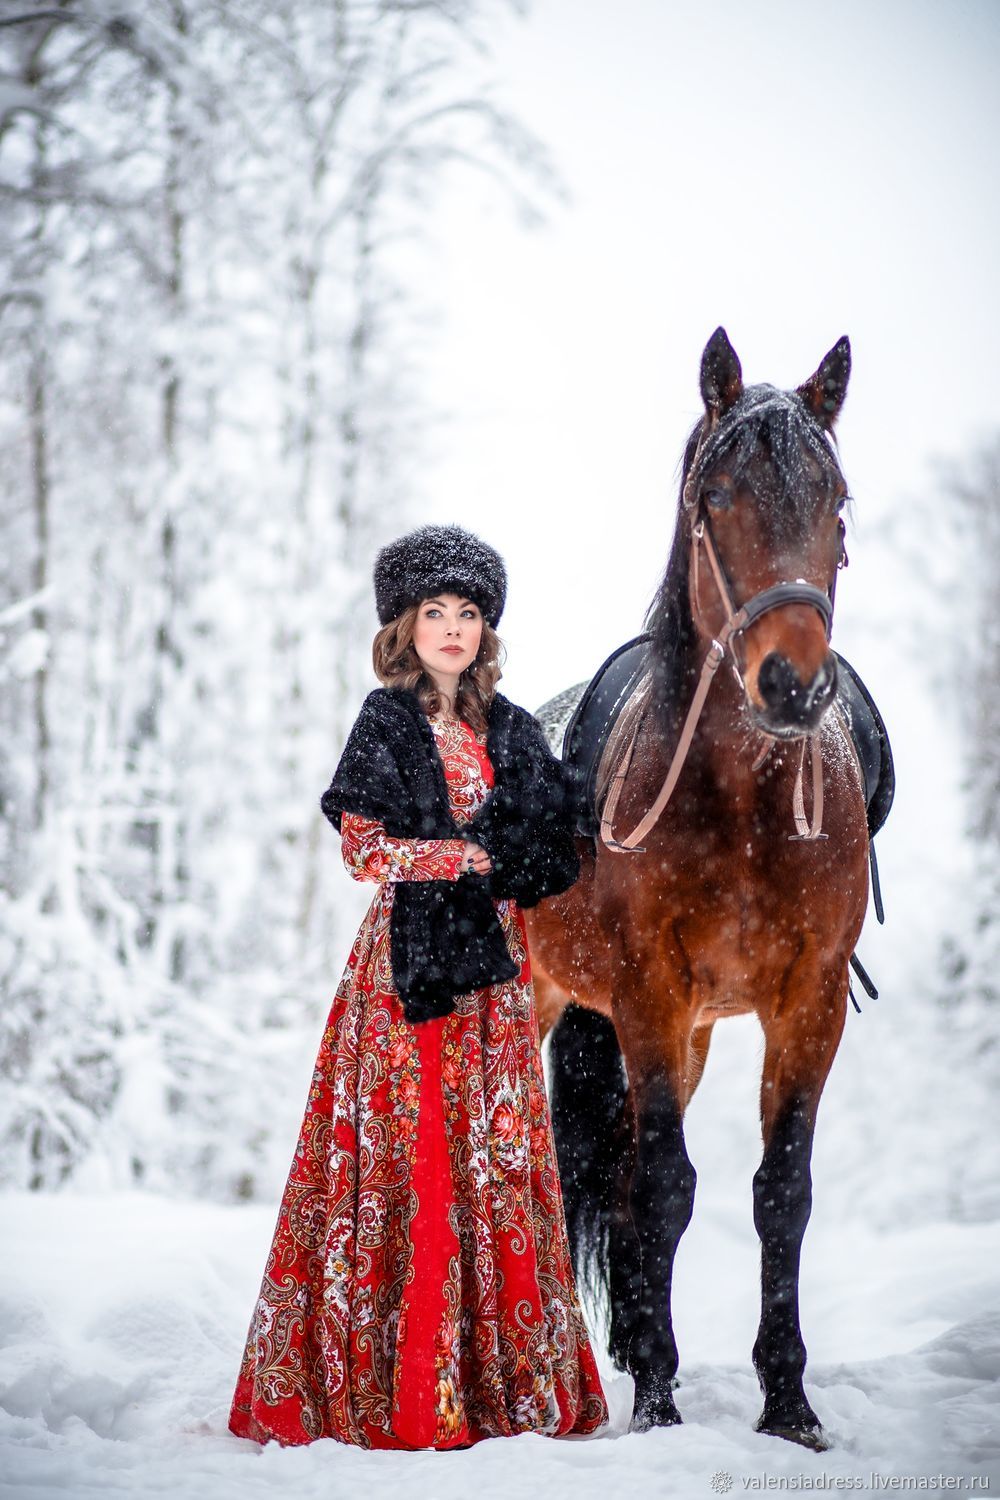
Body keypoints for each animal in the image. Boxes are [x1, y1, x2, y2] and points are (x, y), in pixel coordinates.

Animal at [527, 331, 869, 1452]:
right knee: (620, 1183)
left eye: (836, 501)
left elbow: (782, 1192)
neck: (747, 807)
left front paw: (788, 1405)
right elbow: (667, 1189)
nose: (791, 683)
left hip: (692, 1034)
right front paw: (661, 1404)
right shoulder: (648, 992)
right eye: (715, 495)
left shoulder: (804, 1004)